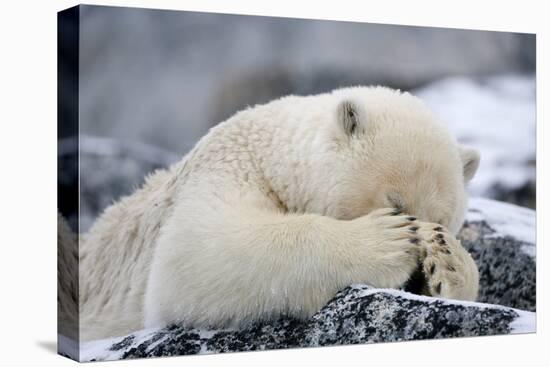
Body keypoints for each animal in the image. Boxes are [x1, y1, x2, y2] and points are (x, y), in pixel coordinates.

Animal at [78, 86, 484, 342]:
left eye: (442, 219)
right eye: (396, 204)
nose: (416, 278)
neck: (268, 152)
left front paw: (448, 261)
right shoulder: (226, 168)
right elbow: (196, 251)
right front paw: (387, 241)